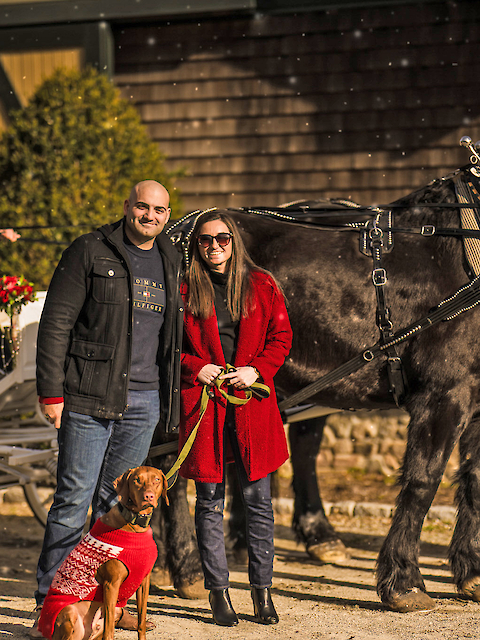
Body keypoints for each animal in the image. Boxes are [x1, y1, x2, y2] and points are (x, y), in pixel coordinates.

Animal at [37, 468, 169, 640]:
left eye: (157, 479)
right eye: (136, 480)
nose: (148, 496)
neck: (134, 524)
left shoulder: (144, 582)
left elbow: (141, 622)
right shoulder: (111, 584)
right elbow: (109, 630)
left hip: (113, 613)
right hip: (70, 613)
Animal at [152, 158, 480, 612]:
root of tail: (172, 232)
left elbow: (475, 481)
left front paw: (471, 571)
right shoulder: (444, 392)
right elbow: (423, 481)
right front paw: (405, 581)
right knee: (174, 465)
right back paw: (186, 568)